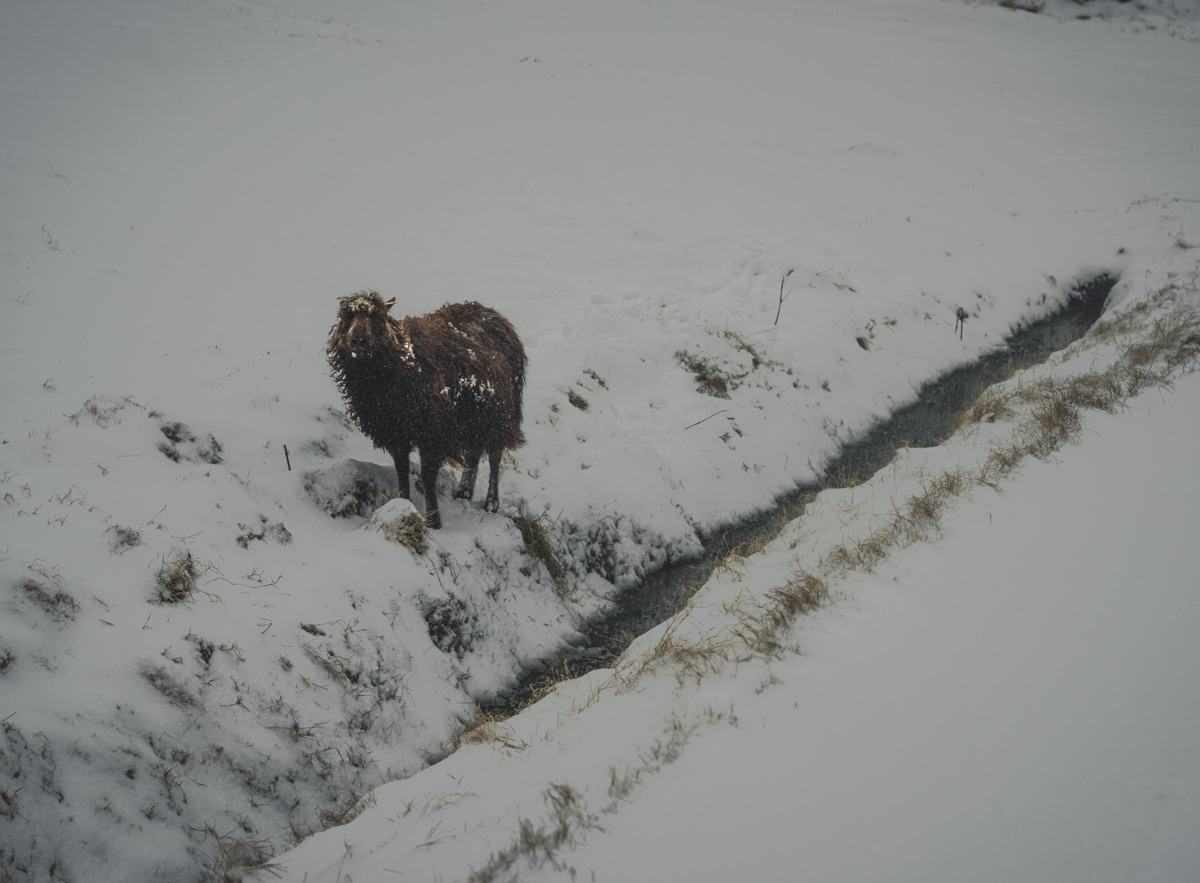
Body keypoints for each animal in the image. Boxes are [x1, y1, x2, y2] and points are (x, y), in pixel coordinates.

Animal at [327, 292, 527, 529]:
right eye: (347, 318)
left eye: (375, 318)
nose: (358, 341)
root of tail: (493, 314)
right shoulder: (396, 433)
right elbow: (402, 471)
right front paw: (402, 505)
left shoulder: (432, 432)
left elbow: (428, 476)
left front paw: (434, 520)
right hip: (472, 416)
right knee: (473, 452)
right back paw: (464, 490)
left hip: (500, 412)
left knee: (495, 457)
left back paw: (491, 503)